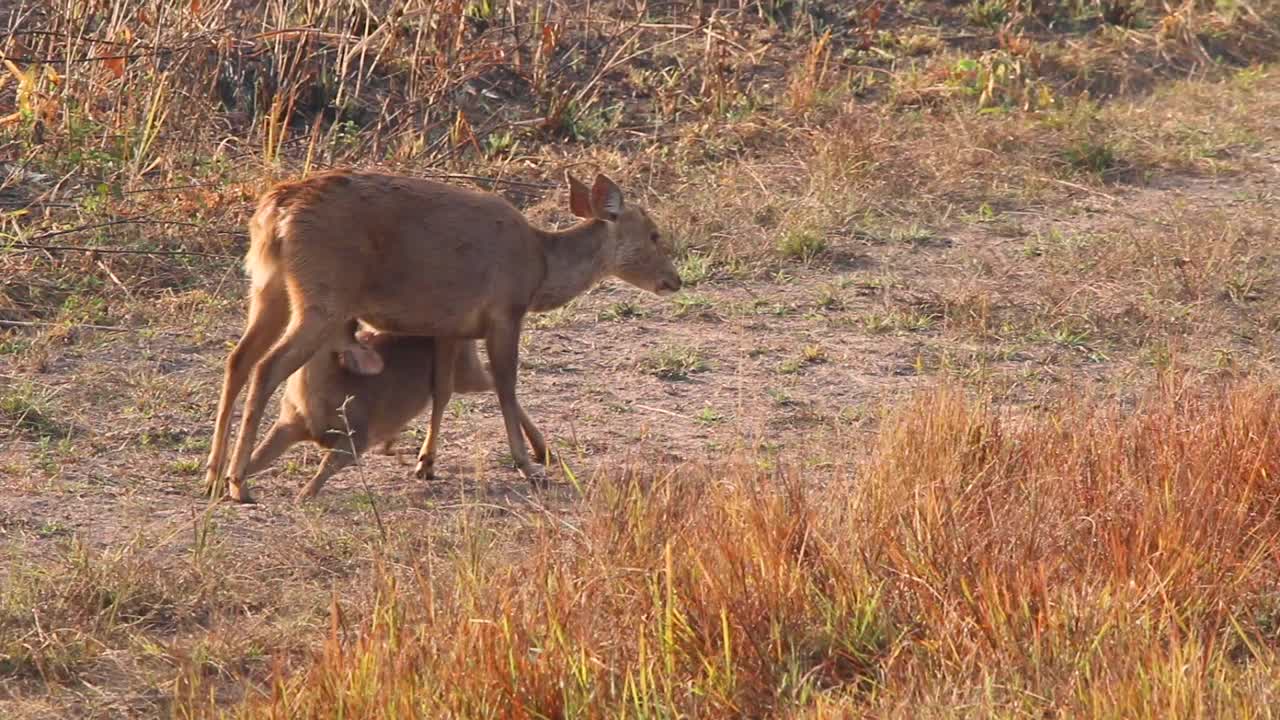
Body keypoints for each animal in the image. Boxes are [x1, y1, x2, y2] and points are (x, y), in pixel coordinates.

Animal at [202, 167, 680, 499]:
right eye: (655, 234)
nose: (675, 280)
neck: (541, 268)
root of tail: (275, 213)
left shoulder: (450, 325)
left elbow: (444, 388)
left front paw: (428, 461)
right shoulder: (504, 311)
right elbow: (506, 385)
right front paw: (528, 463)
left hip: (270, 289)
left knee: (238, 359)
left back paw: (212, 473)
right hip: (321, 297)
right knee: (267, 367)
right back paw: (239, 482)